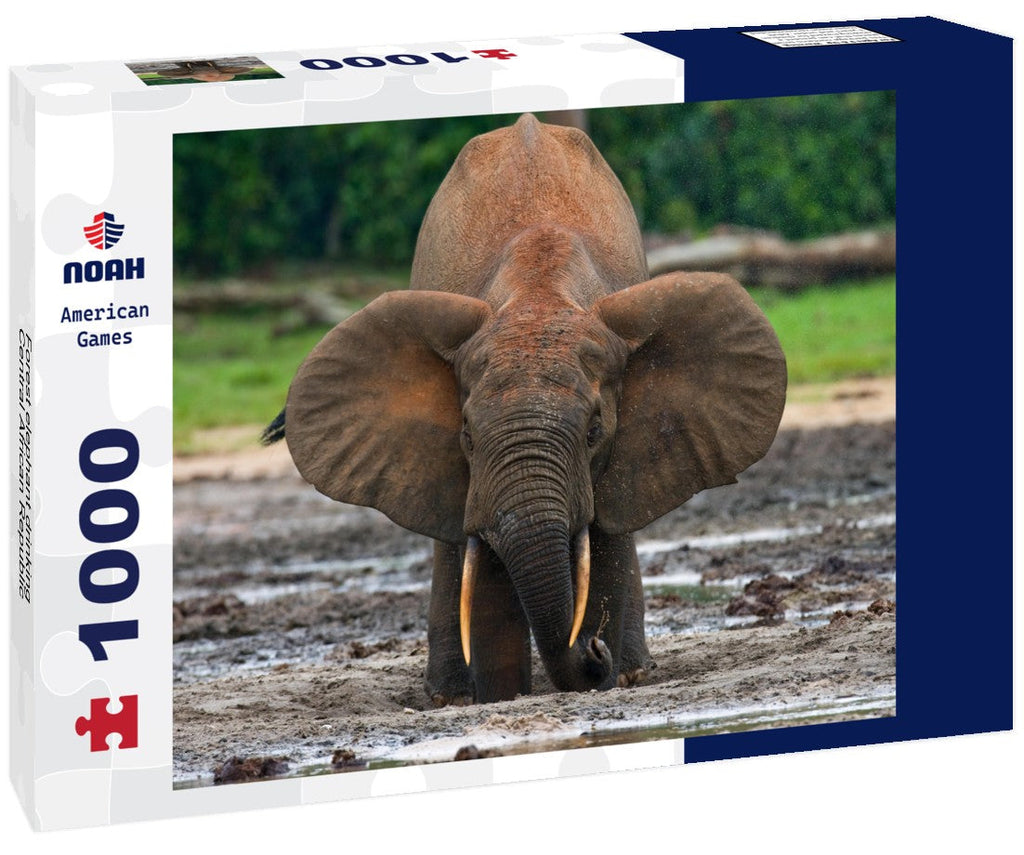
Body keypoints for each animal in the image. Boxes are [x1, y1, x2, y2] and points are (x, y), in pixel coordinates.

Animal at [263, 113, 787, 705]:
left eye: (595, 431)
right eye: (466, 436)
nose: (593, 649)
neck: (540, 295)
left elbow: (601, 542)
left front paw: (604, 669)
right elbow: (484, 570)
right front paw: (499, 697)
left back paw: (633, 671)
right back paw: (450, 696)